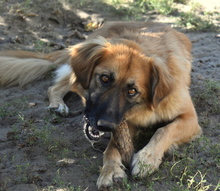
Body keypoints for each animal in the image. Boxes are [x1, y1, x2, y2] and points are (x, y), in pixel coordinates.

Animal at [0, 21, 202, 190]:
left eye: (132, 91)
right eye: (104, 79)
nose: (104, 125)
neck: (146, 106)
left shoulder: (189, 118)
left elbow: (164, 130)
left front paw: (146, 159)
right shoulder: (125, 123)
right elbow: (111, 148)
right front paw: (110, 170)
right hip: (76, 74)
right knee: (56, 86)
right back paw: (58, 104)